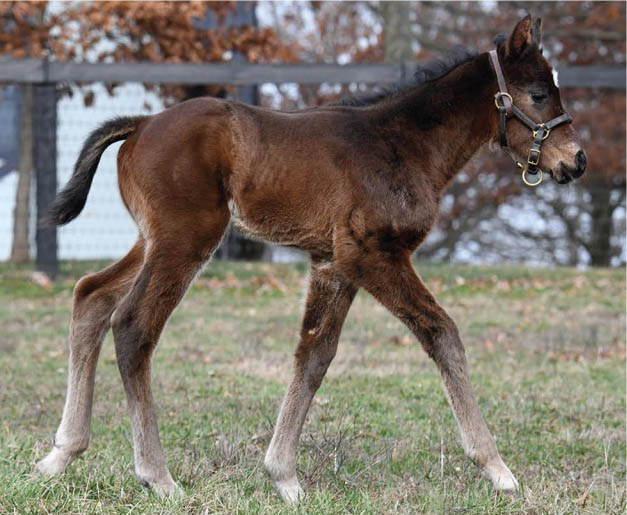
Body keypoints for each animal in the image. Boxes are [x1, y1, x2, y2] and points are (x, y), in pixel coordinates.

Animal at [36, 17, 588, 504]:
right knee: (133, 325)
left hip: (154, 239)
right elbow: (442, 333)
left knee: (91, 295)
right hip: (185, 238)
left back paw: (61, 454)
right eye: (539, 94)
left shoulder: (332, 264)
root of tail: (143, 123)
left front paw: (283, 477)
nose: (576, 161)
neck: (404, 143)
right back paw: (157, 476)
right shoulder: (372, 254)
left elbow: (315, 354)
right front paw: (497, 470)